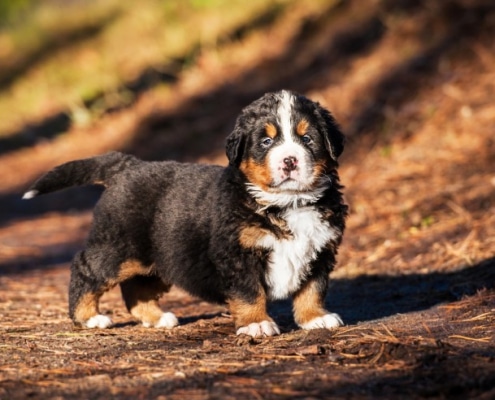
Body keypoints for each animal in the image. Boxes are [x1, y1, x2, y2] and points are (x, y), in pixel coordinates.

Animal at [23, 90, 348, 338]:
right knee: (85, 268)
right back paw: (89, 317)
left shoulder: (320, 249)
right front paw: (256, 324)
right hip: (118, 247)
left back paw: (156, 318)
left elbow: (313, 289)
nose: (289, 161)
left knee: (136, 290)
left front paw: (315, 318)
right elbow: (249, 292)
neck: (287, 203)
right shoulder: (237, 254)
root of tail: (127, 166)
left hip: (159, 257)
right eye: (266, 142)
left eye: (308, 139)